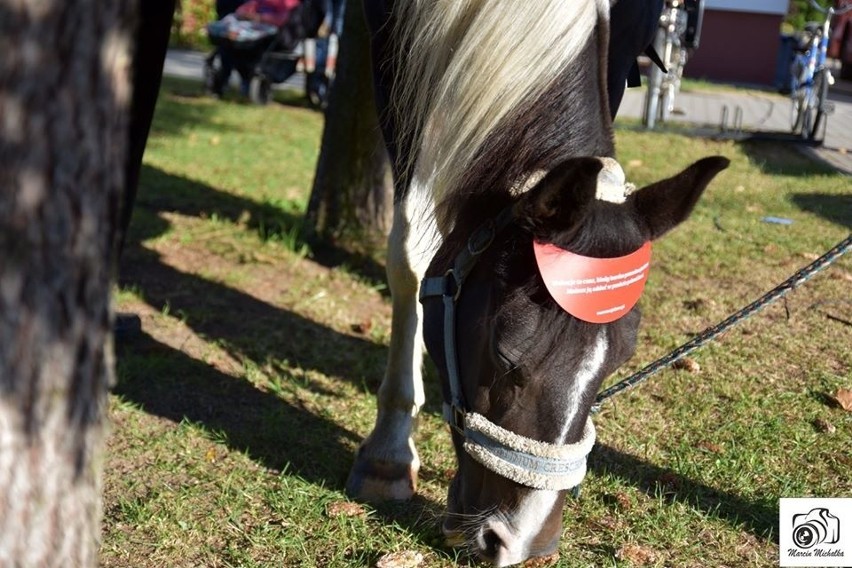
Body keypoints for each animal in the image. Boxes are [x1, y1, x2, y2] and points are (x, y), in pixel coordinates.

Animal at [342, 2, 728, 564]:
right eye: (505, 357)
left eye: (618, 363)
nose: (522, 542)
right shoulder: (392, 49)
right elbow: (410, 253)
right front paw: (387, 455)